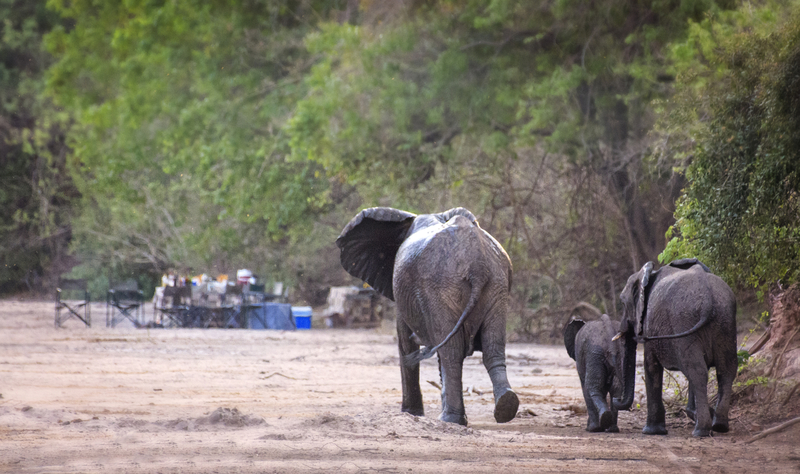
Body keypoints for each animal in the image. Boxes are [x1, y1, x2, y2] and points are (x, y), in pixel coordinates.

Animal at [336, 207, 520, 426]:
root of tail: (478, 264)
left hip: (439, 288)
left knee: (451, 352)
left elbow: (405, 343)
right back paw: (505, 406)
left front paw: (411, 413)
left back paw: (450, 419)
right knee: (493, 347)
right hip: (497, 285)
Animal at [612, 260, 736, 436]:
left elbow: (651, 366)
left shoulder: (650, 327)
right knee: (726, 370)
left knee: (697, 371)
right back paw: (719, 426)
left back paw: (701, 431)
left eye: (623, 303)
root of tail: (708, 297)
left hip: (685, 321)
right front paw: (696, 413)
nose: (616, 399)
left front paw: (651, 431)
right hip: (725, 321)